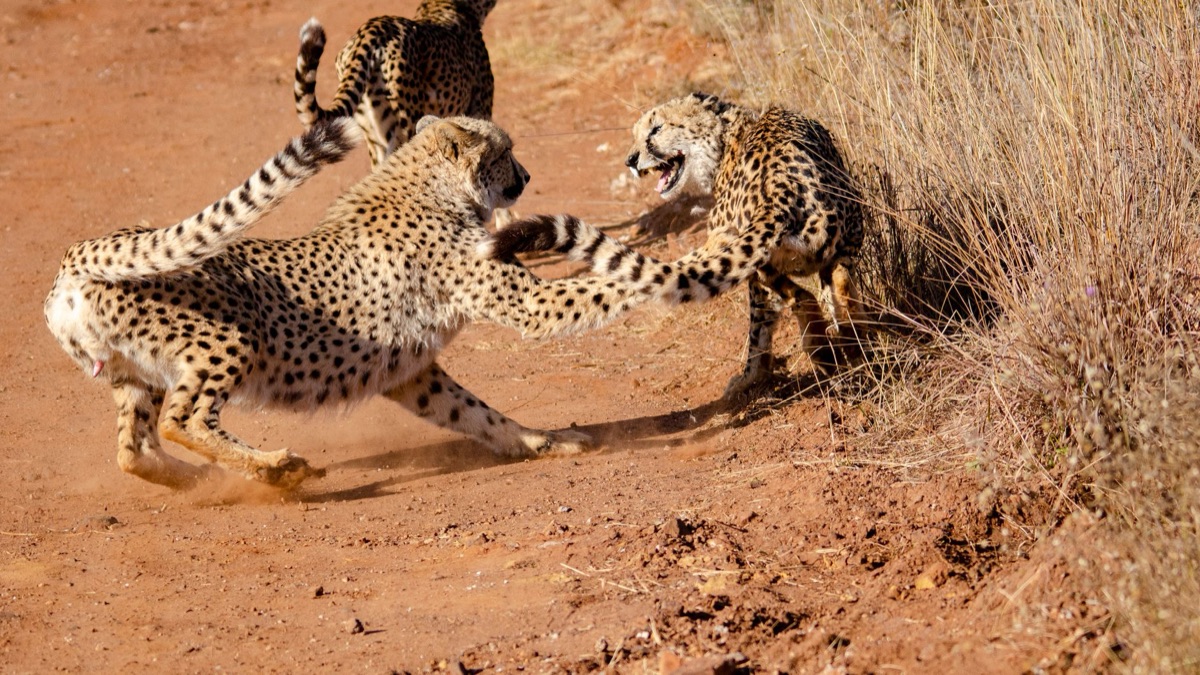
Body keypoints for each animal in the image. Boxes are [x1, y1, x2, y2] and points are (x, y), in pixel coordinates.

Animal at [44, 115, 661, 492]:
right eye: (506, 152)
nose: (526, 175)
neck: (429, 185)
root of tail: (81, 250)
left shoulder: (408, 371)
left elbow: (474, 412)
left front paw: (539, 441)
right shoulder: (524, 302)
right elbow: (597, 288)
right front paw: (673, 274)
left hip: (135, 373)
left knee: (133, 450)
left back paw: (207, 480)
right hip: (229, 339)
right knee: (182, 419)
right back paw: (276, 468)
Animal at [480, 92, 866, 398]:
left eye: (656, 129)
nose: (631, 160)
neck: (730, 138)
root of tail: (779, 192)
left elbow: (760, 325)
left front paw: (750, 377)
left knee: (808, 295)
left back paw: (827, 349)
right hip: (835, 244)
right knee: (837, 290)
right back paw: (850, 346)